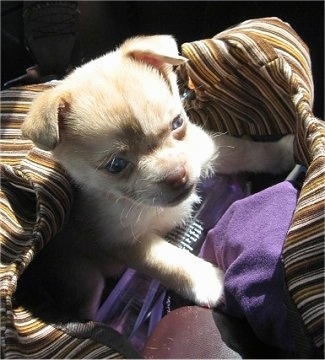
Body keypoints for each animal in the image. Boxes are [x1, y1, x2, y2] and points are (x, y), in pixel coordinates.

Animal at [16, 35, 294, 322]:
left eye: (177, 123)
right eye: (116, 165)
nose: (179, 176)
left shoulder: (205, 148)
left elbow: (244, 151)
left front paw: (283, 152)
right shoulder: (126, 243)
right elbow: (168, 260)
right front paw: (207, 280)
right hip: (86, 279)